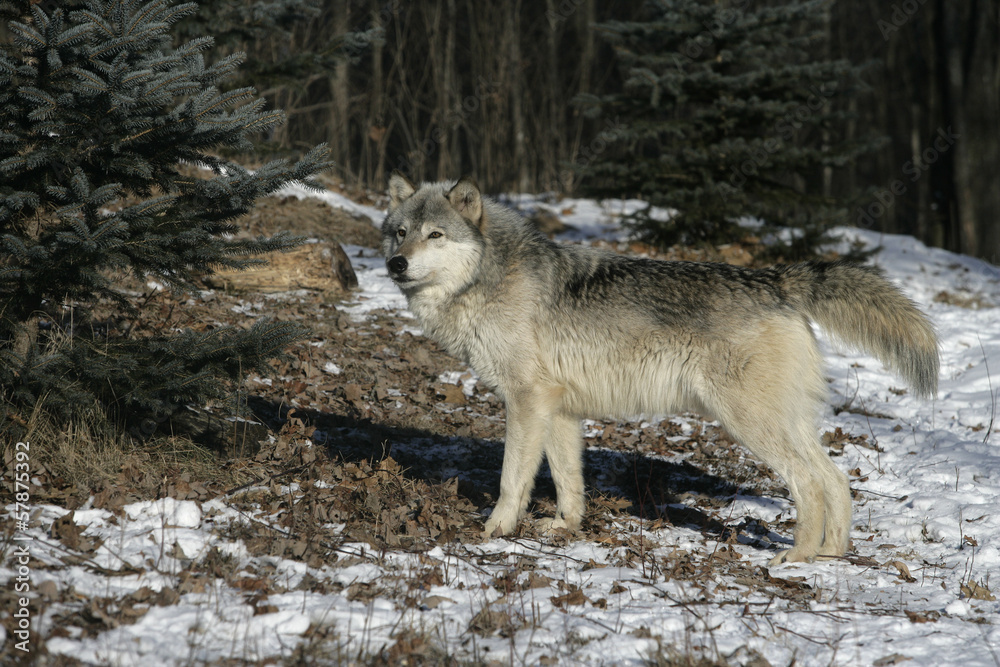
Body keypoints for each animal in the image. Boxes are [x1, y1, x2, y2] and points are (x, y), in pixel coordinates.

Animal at [381, 173, 939, 565]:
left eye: (435, 235)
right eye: (400, 233)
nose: (395, 264)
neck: (487, 279)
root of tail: (775, 278)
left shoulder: (527, 401)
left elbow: (511, 480)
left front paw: (495, 532)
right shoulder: (558, 409)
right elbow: (567, 481)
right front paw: (565, 528)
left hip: (749, 424)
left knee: (809, 484)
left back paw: (797, 557)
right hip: (786, 423)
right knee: (837, 480)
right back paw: (830, 554)